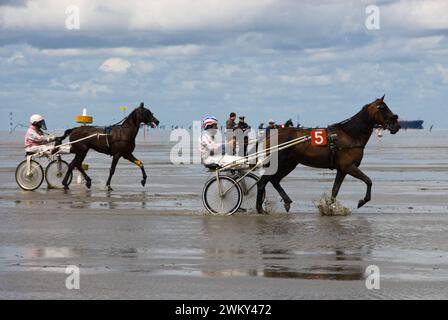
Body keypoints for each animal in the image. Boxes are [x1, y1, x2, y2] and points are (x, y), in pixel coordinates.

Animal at [258, 96, 400, 214]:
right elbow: (368, 181)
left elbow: (335, 190)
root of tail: (271, 134)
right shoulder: (349, 166)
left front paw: (327, 207)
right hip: (279, 162)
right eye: (383, 108)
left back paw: (286, 202)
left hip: (289, 164)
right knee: (263, 182)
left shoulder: (342, 170)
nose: (397, 125)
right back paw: (260, 209)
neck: (350, 135)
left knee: (274, 180)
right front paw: (362, 201)